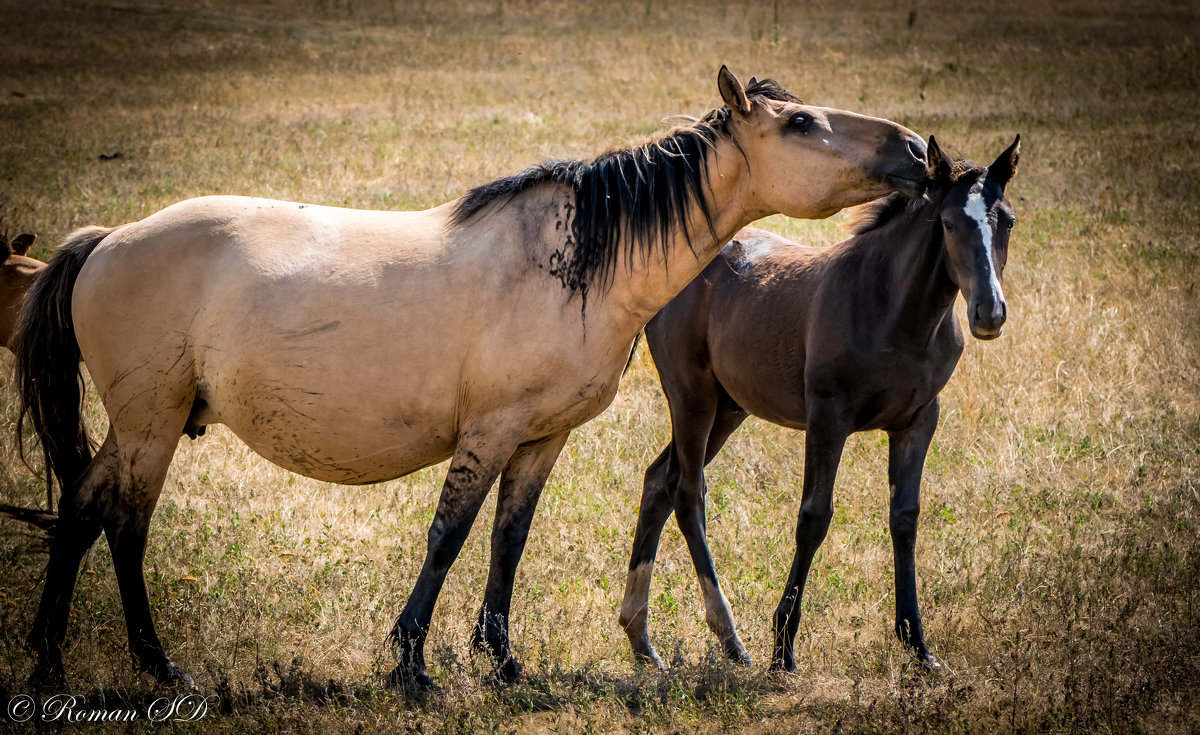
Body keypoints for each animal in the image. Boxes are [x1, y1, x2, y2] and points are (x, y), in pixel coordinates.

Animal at [9, 67, 921, 686]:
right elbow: (449, 533)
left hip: (140, 424)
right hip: (151, 423)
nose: (916, 149)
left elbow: (507, 540)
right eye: (801, 122)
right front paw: (410, 661)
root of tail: (107, 238)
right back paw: (154, 664)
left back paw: (55, 658)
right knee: (122, 523)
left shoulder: (541, 437)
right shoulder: (489, 430)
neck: (575, 261)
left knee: (83, 509)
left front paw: (503, 658)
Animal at [619, 133, 1022, 672]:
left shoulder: (919, 421)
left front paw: (917, 646)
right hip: (692, 397)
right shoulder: (827, 418)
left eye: (1008, 221)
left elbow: (905, 518)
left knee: (657, 481)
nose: (989, 312)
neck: (896, 314)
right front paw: (783, 647)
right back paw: (731, 641)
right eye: (949, 223)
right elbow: (813, 517)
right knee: (686, 492)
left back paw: (641, 641)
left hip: (729, 407)